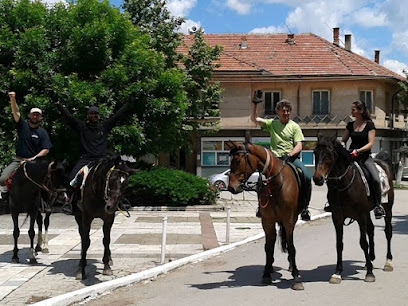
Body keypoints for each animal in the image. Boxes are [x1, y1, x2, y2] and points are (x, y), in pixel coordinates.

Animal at [228, 141, 304, 290]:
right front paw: (266, 274)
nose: (231, 187)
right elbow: (268, 247)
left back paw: (291, 267)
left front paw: (297, 276)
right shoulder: (267, 221)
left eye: (238, 160)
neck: (276, 183)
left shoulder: (289, 221)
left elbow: (292, 247)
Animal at [314, 135, 394, 284]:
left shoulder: (360, 216)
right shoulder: (337, 217)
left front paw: (369, 273)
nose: (317, 178)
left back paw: (388, 262)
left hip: (387, 208)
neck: (343, 185)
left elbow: (363, 242)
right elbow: (339, 244)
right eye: (315, 153)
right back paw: (371, 259)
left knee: (388, 231)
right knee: (371, 229)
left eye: (329, 155)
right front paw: (337, 273)